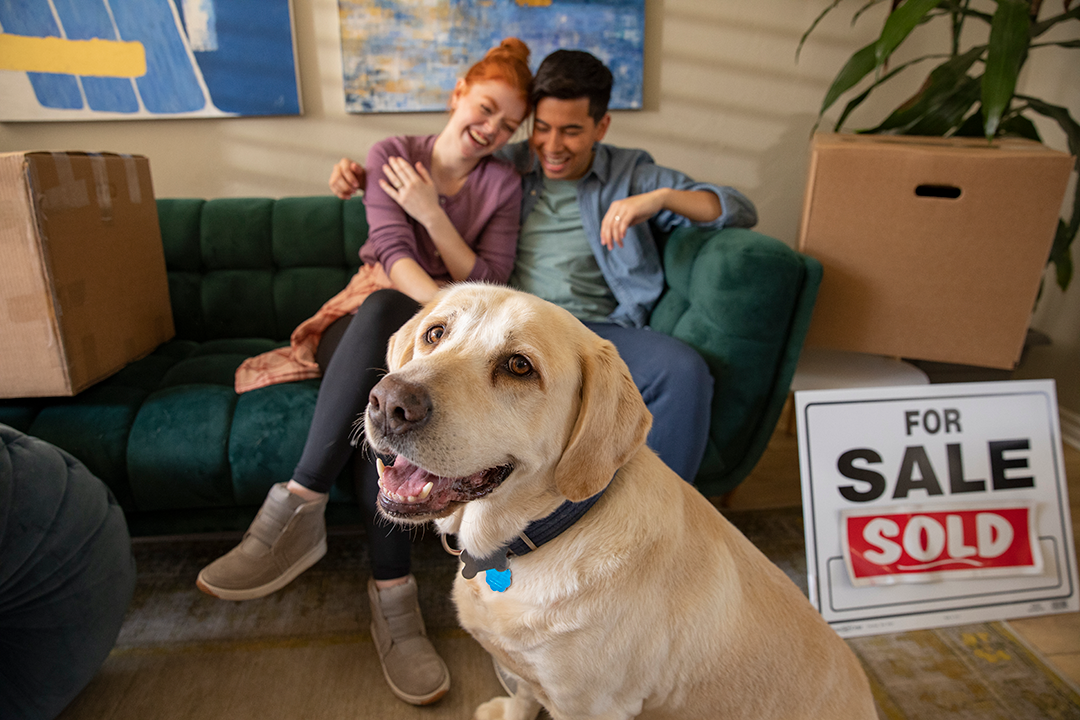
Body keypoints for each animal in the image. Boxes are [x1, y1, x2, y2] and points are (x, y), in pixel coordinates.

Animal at [367, 284, 872, 716]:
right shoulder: (532, 677)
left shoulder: (591, 707)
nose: (389, 402)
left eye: (519, 366)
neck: (531, 536)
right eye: (435, 333)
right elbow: (523, 696)